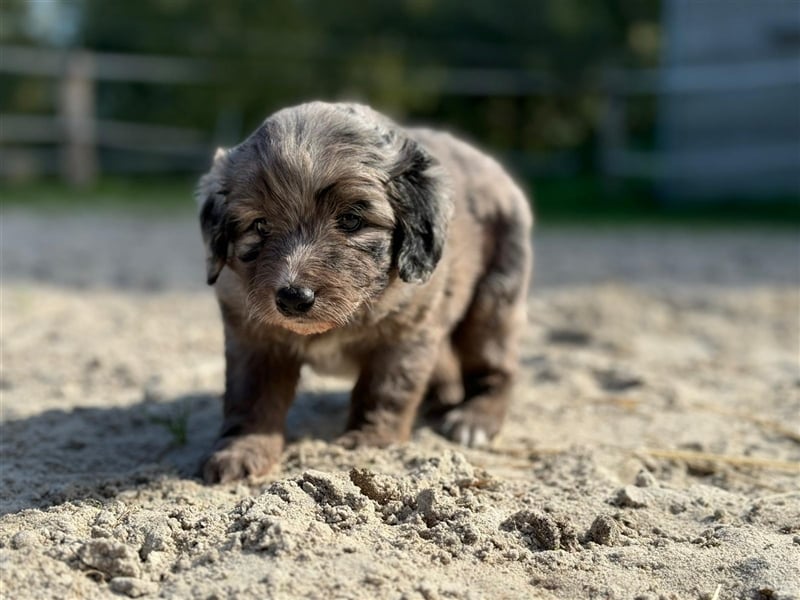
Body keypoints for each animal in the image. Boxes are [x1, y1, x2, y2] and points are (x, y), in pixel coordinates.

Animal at [196, 99, 532, 482]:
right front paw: (241, 450)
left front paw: (370, 440)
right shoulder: (252, 337)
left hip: (493, 300)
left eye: (352, 220)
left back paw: (475, 418)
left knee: (497, 367)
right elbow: (251, 397)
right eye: (260, 225)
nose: (293, 298)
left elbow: (385, 389)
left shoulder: (406, 332)